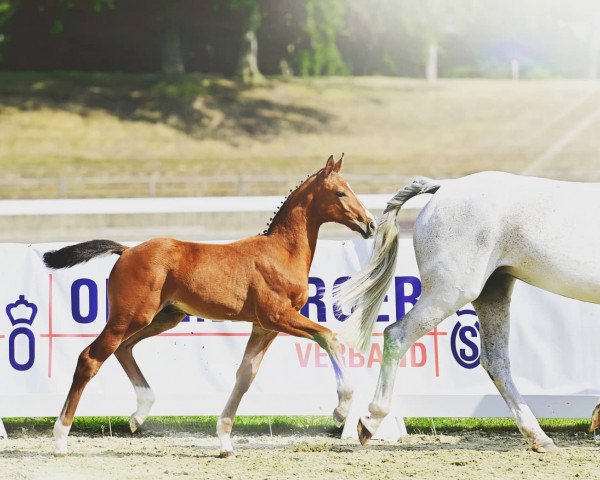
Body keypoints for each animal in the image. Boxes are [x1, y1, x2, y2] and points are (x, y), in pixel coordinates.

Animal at [44, 156, 376, 456]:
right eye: (341, 192)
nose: (370, 224)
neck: (281, 252)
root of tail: (126, 250)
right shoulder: (278, 316)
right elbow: (328, 337)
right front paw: (341, 411)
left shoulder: (263, 326)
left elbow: (245, 375)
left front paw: (225, 443)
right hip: (129, 317)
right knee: (90, 358)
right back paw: (60, 440)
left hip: (164, 318)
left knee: (123, 349)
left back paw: (139, 414)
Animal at [338, 172, 600, 454]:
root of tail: (443, 188)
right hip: (451, 291)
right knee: (397, 334)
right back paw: (371, 421)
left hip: (493, 292)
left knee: (496, 361)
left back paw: (539, 437)